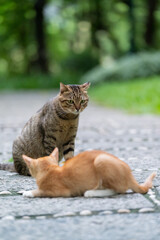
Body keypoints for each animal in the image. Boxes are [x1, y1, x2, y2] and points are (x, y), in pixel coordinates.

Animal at [21, 147, 156, 198]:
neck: (50, 169)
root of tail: (130, 175)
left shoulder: (59, 191)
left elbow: (41, 191)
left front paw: (28, 192)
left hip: (101, 160)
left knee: (118, 189)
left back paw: (91, 192)